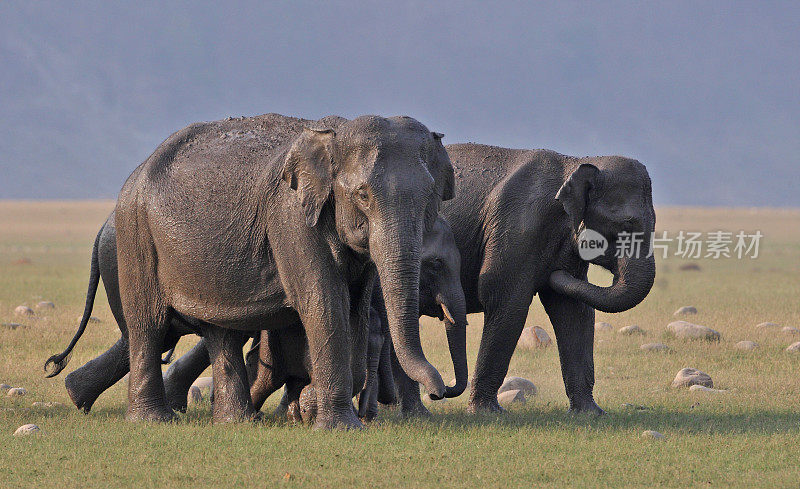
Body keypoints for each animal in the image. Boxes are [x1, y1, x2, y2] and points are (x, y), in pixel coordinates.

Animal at [47, 113, 466, 428]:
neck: (336, 134)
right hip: (136, 232)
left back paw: (236, 421)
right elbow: (323, 302)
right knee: (148, 324)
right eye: (362, 194)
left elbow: (356, 308)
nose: (438, 391)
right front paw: (335, 424)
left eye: (430, 196)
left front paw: (311, 408)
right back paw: (150, 419)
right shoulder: (291, 218)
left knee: (219, 330)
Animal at [392, 143, 656, 414]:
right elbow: (506, 300)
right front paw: (486, 413)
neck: (574, 163)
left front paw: (590, 413)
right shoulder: (518, 227)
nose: (554, 274)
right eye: (626, 225)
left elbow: (572, 310)